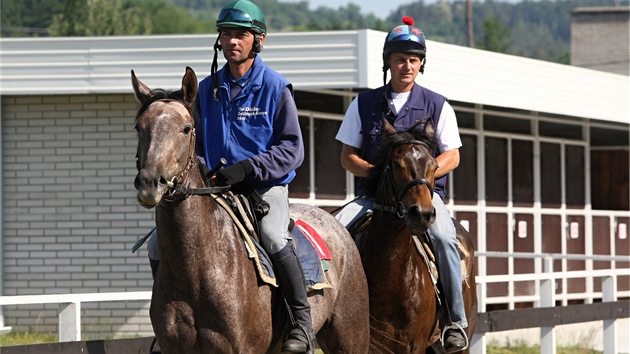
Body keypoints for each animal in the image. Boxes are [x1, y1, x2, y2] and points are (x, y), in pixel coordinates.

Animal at [132, 67, 370, 354]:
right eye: (139, 127)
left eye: (186, 129)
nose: (149, 183)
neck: (197, 271)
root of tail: (334, 222)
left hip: (351, 335)